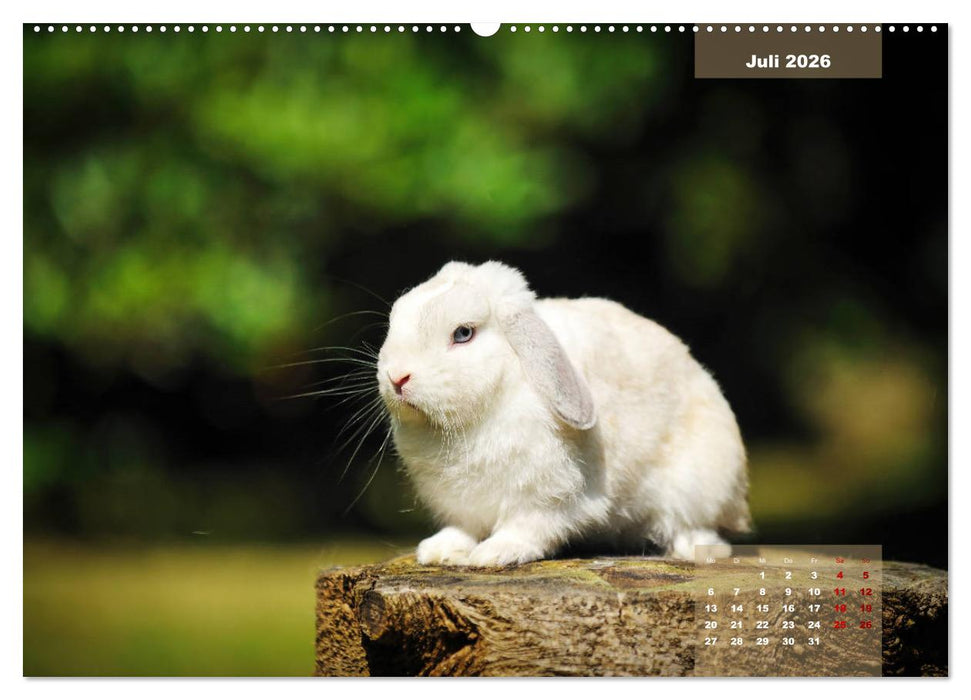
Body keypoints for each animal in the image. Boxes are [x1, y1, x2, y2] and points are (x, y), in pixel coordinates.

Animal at [375, 260, 750, 567]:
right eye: (395, 320)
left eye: (463, 333)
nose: (397, 377)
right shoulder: (462, 504)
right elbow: (464, 527)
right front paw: (439, 551)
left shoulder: (548, 498)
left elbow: (527, 527)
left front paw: (495, 554)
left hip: (697, 484)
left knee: (696, 527)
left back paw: (694, 549)